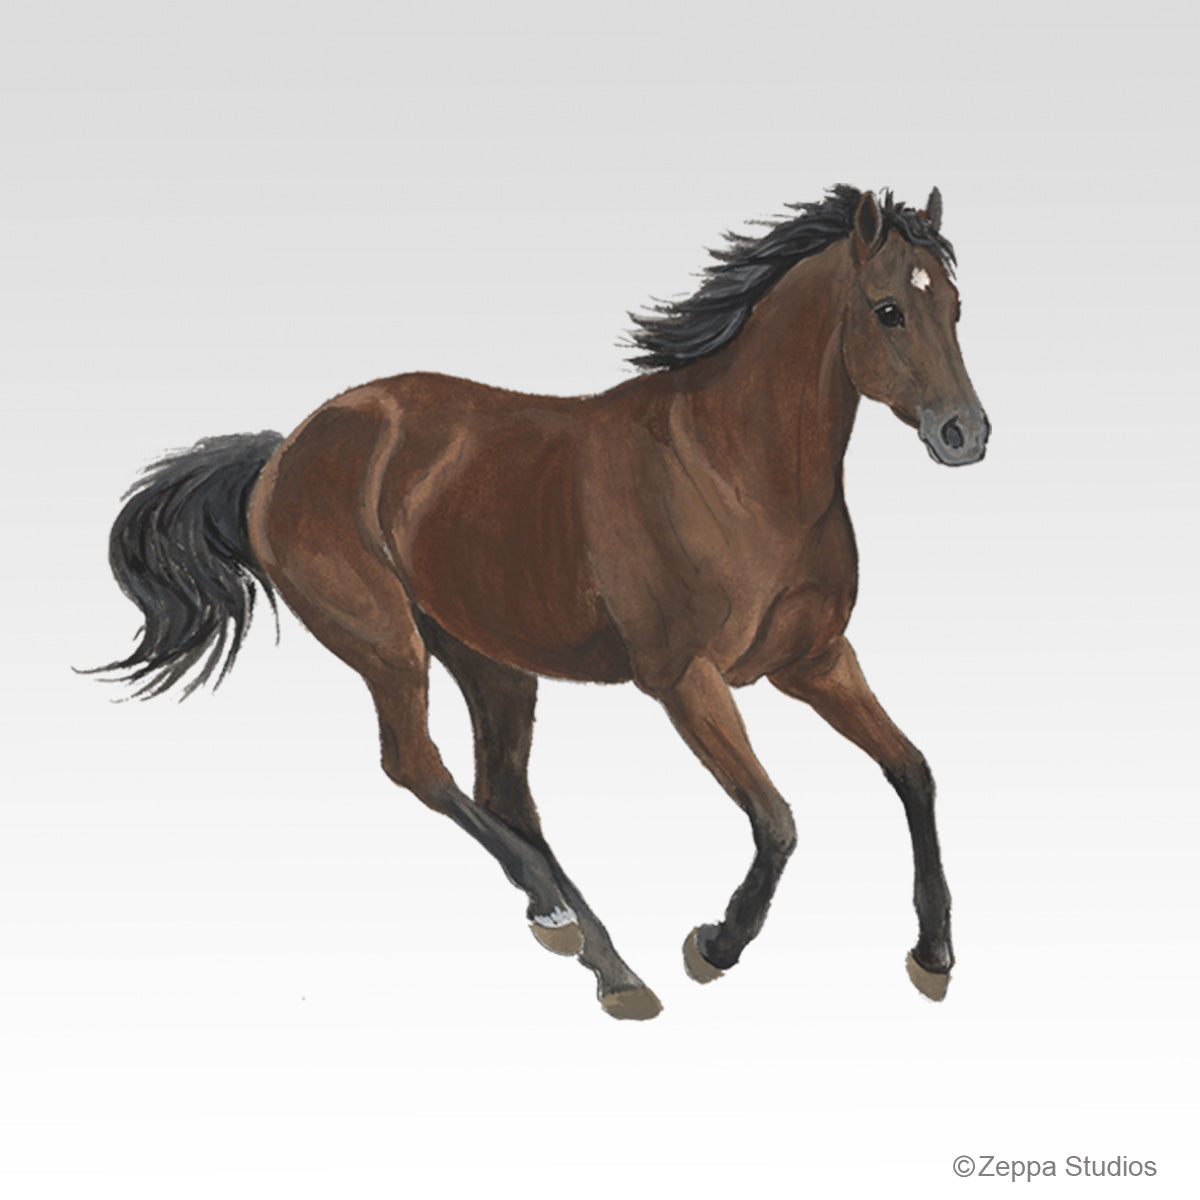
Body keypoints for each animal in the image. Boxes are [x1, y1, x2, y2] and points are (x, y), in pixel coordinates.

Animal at [95, 185, 989, 1020]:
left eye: (953, 305)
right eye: (888, 310)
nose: (966, 435)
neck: (733, 469)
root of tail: (287, 449)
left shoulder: (814, 661)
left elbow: (913, 771)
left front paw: (934, 954)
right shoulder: (685, 679)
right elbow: (776, 820)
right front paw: (716, 944)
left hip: (488, 659)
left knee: (502, 793)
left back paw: (603, 959)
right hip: (388, 645)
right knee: (419, 768)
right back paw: (568, 922)